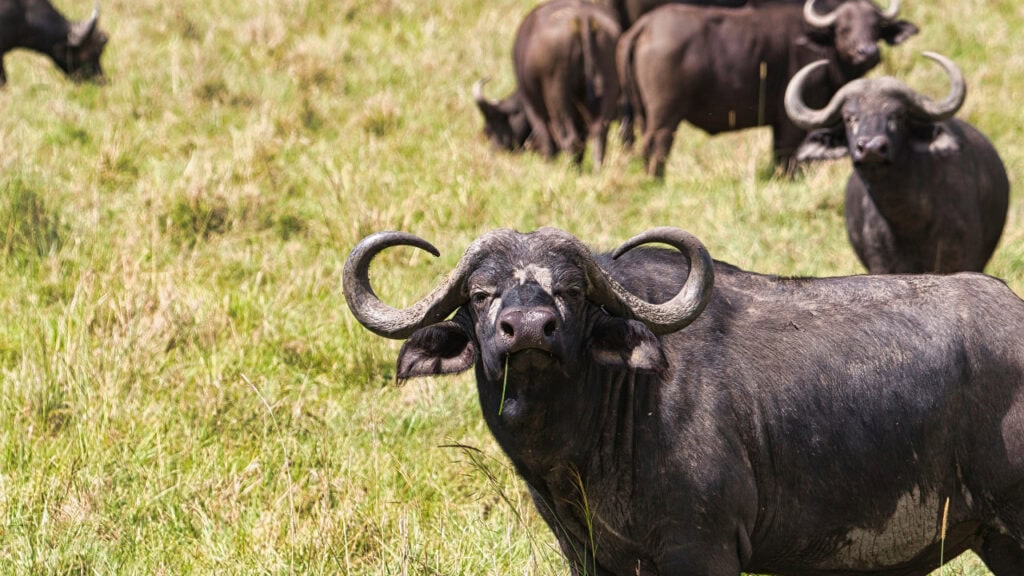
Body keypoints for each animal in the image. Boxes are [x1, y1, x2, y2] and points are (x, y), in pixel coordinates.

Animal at [474, 0, 621, 169]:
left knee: (569, 138)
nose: (495, 151)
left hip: (556, 95)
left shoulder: (532, 106)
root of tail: (582, 18)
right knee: (599, 133)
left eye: (489, 129)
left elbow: (545, 136)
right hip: (607, 88)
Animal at [617, 0, 917, 177]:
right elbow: (787, 156)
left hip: (643, 114)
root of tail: (645, 25)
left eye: (876, 27)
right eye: (843, 29)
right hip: (665, 117)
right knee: (657, 147)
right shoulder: (791, 122)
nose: (868, 52)